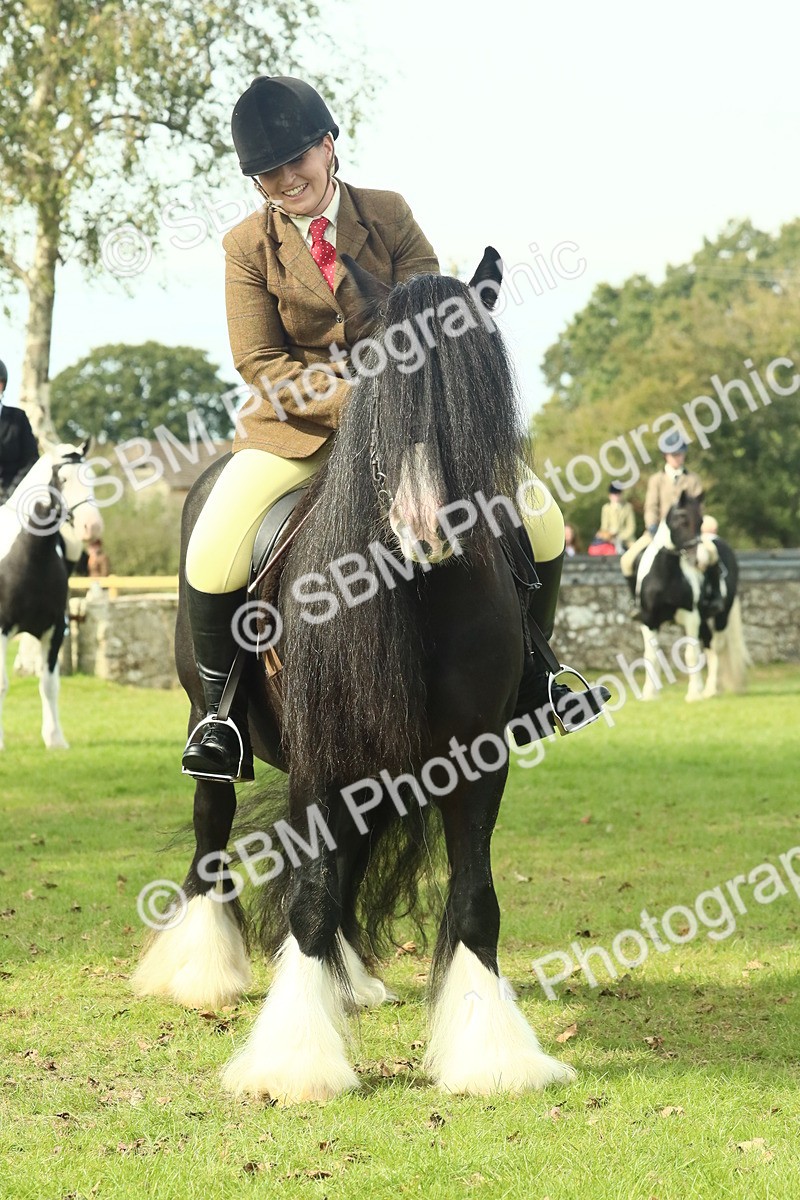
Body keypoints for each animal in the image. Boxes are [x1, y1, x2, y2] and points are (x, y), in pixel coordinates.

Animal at [0, 441, 102, 748]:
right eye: (64, 479)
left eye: (92, 476)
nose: (92, 526)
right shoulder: (1, 630)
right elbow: (2, 684)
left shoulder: (55, 630)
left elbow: (49, 685)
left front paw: (55, 739)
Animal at [132, 248, 577, 1103]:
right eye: (377, 379)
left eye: (475, 389)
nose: (428, 528)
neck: (419, 594)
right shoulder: (321, 752)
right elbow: (306, 898)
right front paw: (294, 1064)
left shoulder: (476, 756)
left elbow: (475, 904)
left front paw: (493, 1057)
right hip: (216, 728)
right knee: (212, 826)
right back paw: (203, 971)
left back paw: (346, 981)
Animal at [633, 491, 748, 702]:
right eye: (682, 520)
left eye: (701, 521)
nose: (699, 560)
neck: (665, 573)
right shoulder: (649, 619)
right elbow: (651, 655)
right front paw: (649, 694)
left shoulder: (691, 616)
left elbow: (691, 654)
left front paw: (694, 694)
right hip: (703, 621)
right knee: (709, 646)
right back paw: (709, 689)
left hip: (721, 616)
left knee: (716, 647)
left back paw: (712, 689)